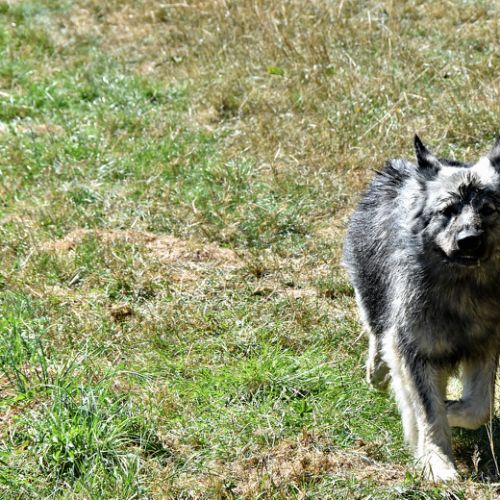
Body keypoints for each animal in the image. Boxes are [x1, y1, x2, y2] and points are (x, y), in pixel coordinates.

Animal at [343, 135, 500, 481]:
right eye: (447, 210)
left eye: (488, 209)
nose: (469, 240)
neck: (461, 287)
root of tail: (399, 169)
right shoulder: (415, 349)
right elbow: (428, 411)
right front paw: (437, 462)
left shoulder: (485, 345)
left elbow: (478, 408)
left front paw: (451, 410)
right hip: (374, 297)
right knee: (377, 335)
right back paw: (376, 372)